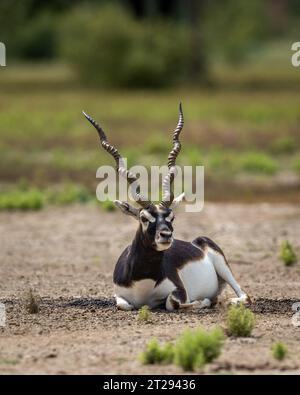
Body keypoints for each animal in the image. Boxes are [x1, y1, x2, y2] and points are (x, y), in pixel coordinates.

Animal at [83, 105, 250, 312]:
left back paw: (226, 301)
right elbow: (125, 305)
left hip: (223, 266)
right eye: (144, 218)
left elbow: (173, 302)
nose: (166, 235)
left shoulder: (179, 291)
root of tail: (197, 242)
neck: (143, 282)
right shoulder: (119, 296)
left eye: (171, 217)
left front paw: (203, 301)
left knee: (244, 295)